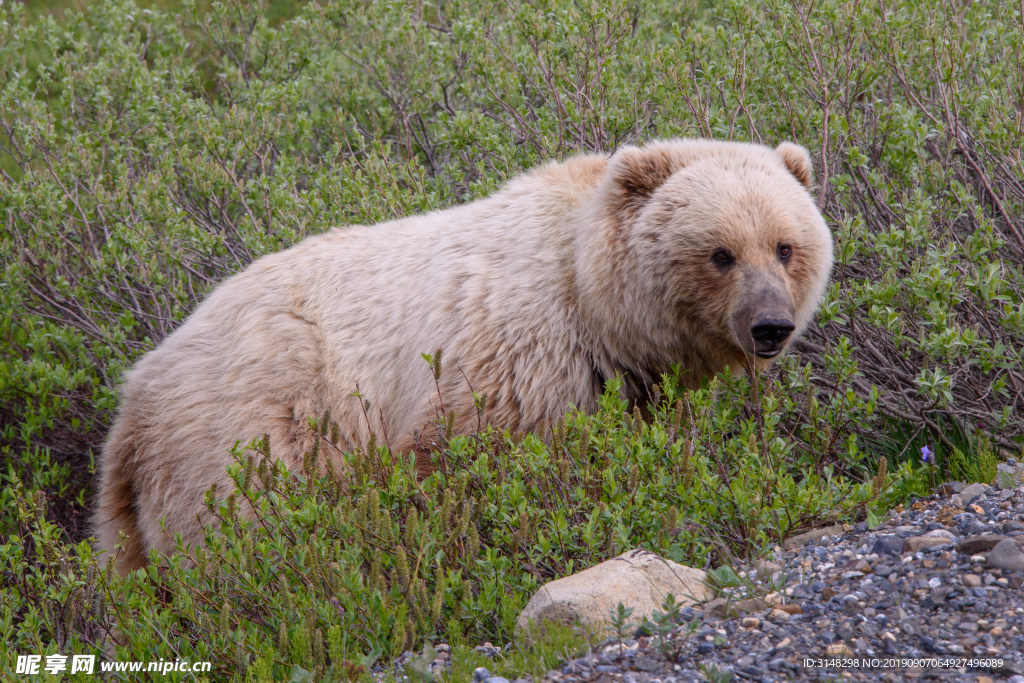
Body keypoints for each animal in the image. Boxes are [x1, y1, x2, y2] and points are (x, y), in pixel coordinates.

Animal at [94, 139, 831, 573]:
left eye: (785, 246)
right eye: (720, 252)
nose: (771, 326)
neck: (595, 302)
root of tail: (134, 396)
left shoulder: (633, 384)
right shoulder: (515, 353)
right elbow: (466, 457)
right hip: (250, 428)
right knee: (242, 531)